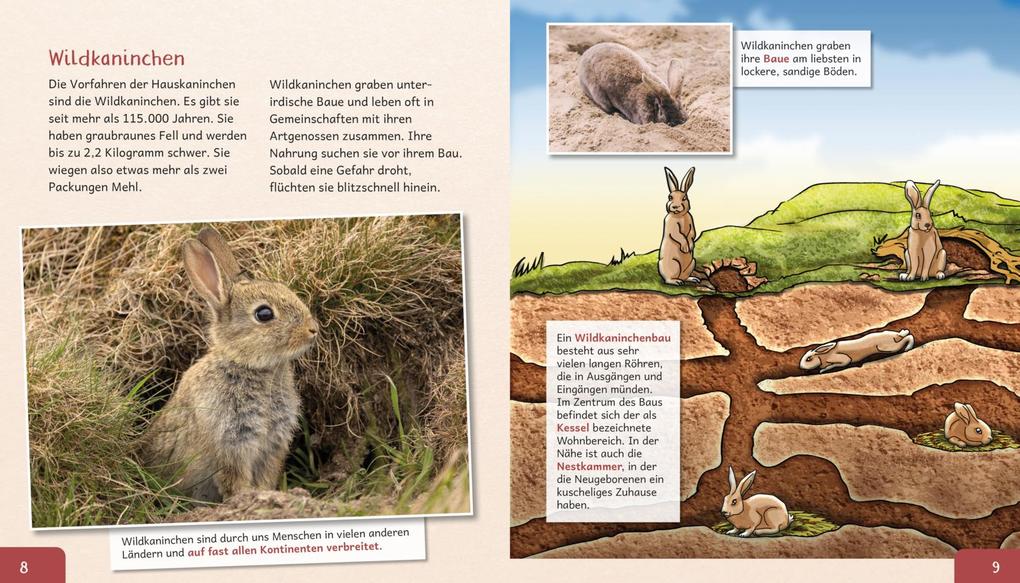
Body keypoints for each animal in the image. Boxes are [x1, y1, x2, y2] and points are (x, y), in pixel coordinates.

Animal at [141, 227, 319, 502]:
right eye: (264, 314)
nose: (313, 330)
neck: (249, 366)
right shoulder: (231, 441)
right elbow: (234, 479)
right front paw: (249, 497)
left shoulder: (273, 445)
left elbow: (266, 474)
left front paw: (272, 493)